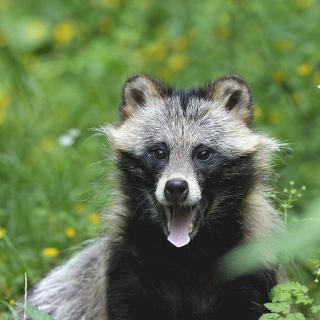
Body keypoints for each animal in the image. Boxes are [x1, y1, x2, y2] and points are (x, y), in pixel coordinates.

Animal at [25, 74, 280, 318]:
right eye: (159, 152)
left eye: (204, 153)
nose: (176, 187)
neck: (185, 255)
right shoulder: (125, 268)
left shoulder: (248, 261)